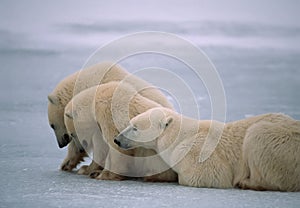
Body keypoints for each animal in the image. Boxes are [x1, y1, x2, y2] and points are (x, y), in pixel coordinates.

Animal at [115, 107, 300, 192]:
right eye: (130, 123)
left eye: (135, 127)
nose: (117, 139)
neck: (180, 136)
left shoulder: (196, 149)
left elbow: (209, 175)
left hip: (278, 142)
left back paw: (247, 182)